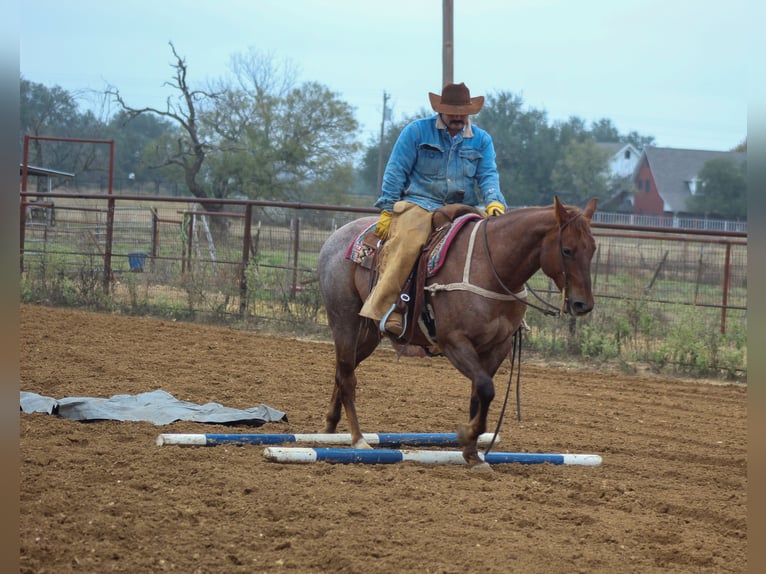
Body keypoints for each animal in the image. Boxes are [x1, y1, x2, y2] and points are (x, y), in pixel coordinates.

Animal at [317, 197, 598, 469]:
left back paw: (330, 428)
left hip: (370, 333)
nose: (583, 304)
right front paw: (466, 436)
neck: (491, 268)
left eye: (592, 249)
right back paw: (358, 439)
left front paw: (472, 453)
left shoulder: (498, 346)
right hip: (345, 320)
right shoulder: (454, 342)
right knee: (348, 376)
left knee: (342, 370)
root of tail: (335, 236)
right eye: (567, 249)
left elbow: (478, 394)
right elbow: (486, 387)